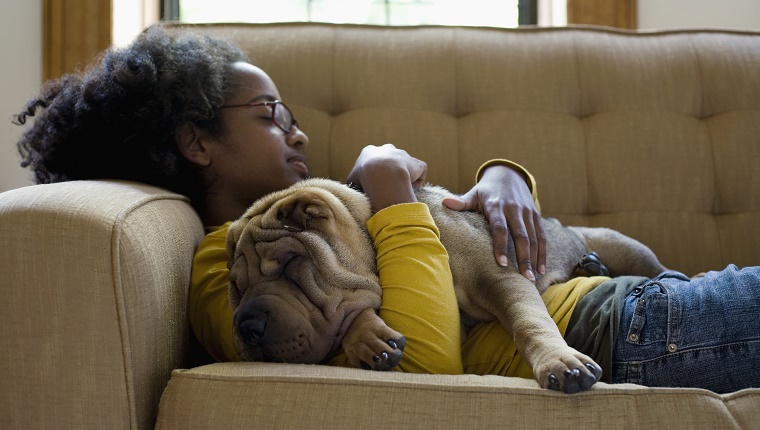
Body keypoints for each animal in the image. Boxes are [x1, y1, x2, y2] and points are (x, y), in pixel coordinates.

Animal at [227, 178, 664, 394]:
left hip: (623, 244)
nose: (246, 327)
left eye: (289, 263)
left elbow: (529, 323)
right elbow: (352, 311)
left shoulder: (503, 278)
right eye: (236, 288)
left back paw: (595, 263)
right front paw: (368, 337)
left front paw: (559, 361)